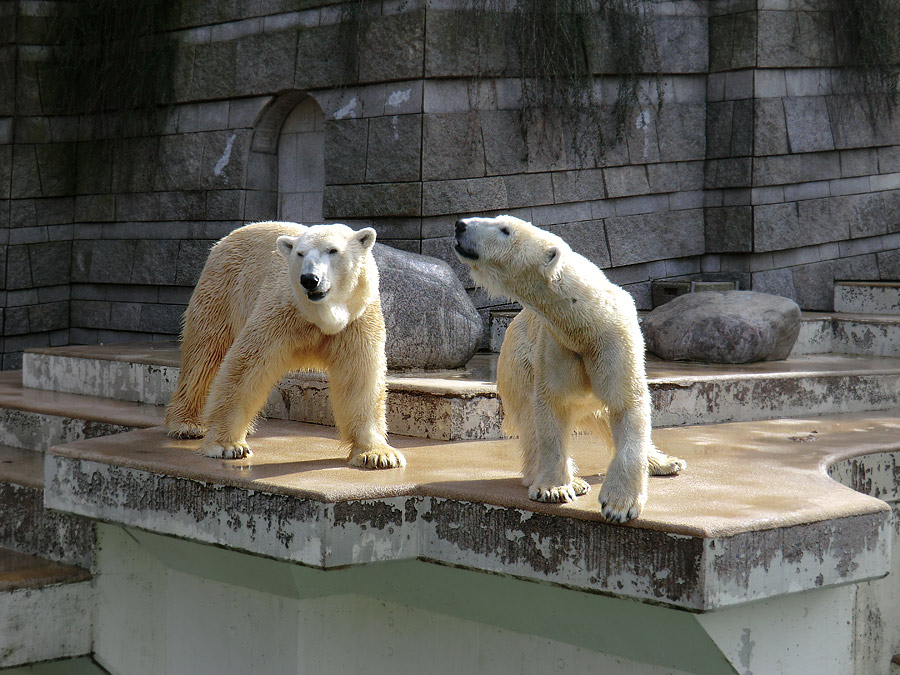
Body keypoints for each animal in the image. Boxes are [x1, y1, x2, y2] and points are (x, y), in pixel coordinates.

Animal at [164, 222, 404, 470]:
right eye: (300, 253)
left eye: (332, 250)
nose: (309, 279)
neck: (320, 315)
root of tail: (228, 237)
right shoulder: (280, 312)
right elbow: (245, 367)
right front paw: (228, 446)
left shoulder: (357, 320)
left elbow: (360, 378)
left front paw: (378, 454)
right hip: (223, 288)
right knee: (204, 353)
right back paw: (188, 424)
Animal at [454, 215, 684, 524]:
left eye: (505, 229)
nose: (460, 224)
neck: (587, 322)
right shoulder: (555, 345)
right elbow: (553, 407)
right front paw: (555, 489)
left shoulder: (615, 344)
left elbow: (626, 405)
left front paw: (619, 505)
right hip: (518, 365)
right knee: (531, 424)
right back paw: (572, 480)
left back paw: (666, 462)